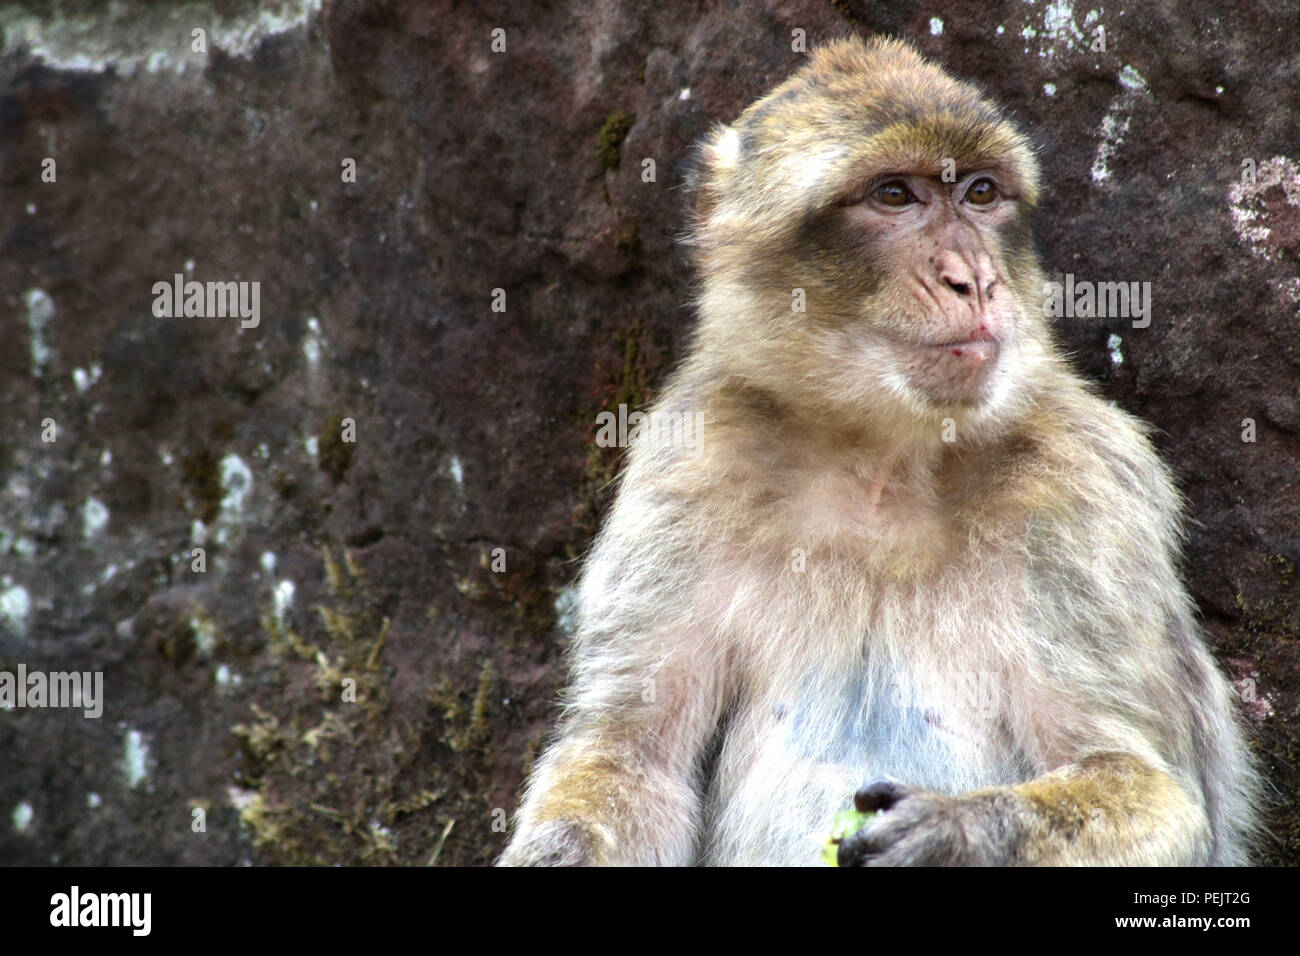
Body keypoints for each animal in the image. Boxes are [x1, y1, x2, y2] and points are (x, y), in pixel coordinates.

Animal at [496, 35, 1258, 868]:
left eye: (981, 194)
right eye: (894, 196)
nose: (973, 279)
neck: (881, 460)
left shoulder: (1086, 495)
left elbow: (1152, 790)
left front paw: (953, 832)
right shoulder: (688, 467)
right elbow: (633, 759)